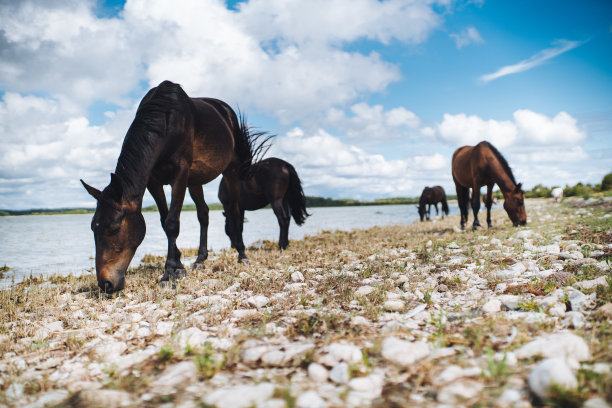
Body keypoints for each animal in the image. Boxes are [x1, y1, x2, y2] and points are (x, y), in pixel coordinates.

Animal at [80, 79, 264, 292]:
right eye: (93, 227)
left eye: (115, 228)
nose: (106, 284)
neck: (166, 120)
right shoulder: (154, 181)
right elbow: (163, 220)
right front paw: (180, 266)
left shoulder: (180, 174)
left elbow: (172, 223)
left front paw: (169, 273)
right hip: (195, 181)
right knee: (203, 214)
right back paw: (200, 260)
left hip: (231, 171)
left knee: (234, 210)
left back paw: (242, 255)